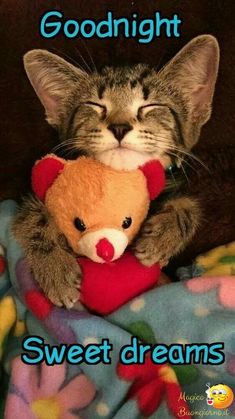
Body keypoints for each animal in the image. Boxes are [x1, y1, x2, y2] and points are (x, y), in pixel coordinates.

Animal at [12, 35, 219, 308]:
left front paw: (164, 234)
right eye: (94, 105)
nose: (119, 127)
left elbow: (188, 204)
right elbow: (33, 216)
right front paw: (55, 267)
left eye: (150, 106)